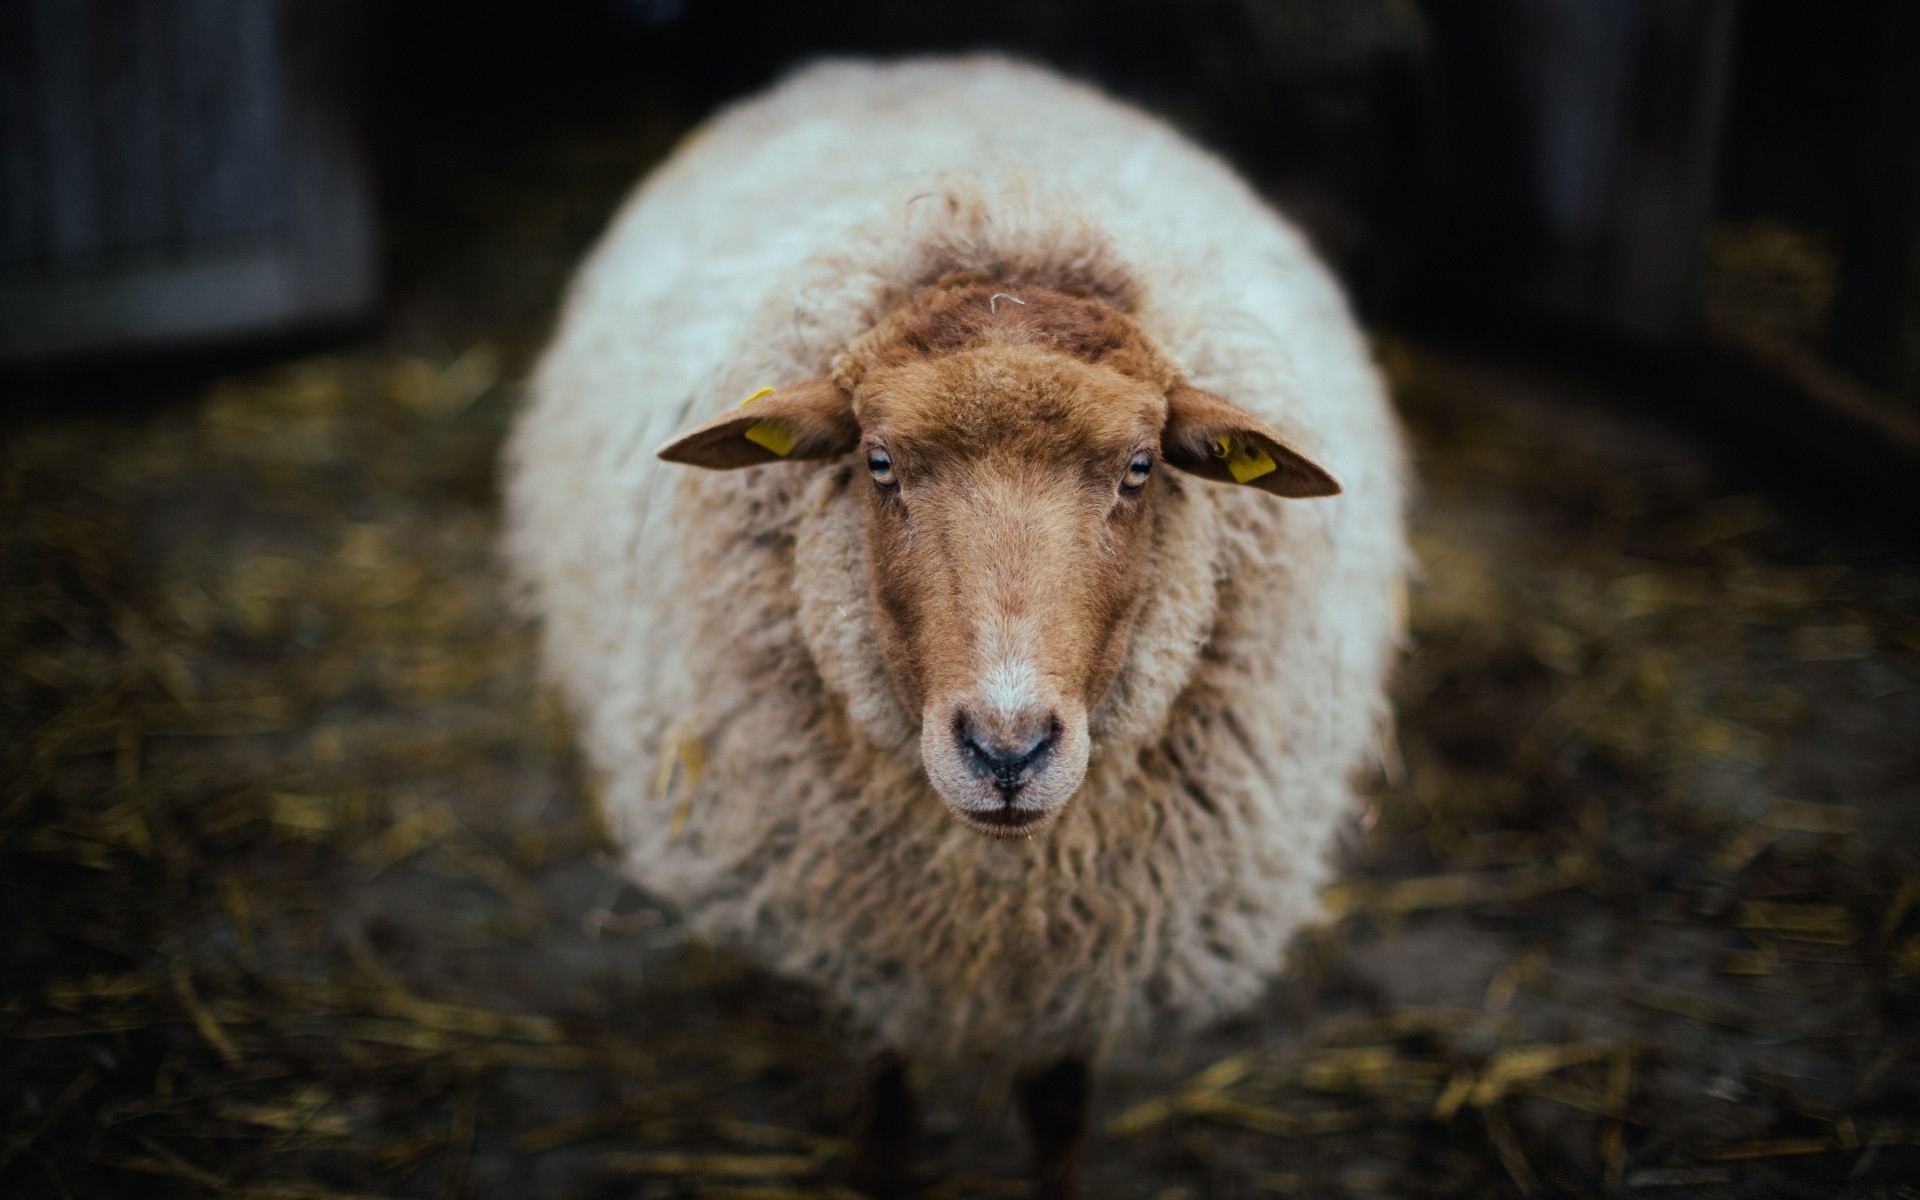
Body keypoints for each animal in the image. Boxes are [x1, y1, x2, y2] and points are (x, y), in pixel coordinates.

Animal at [506, 56, 1413, 1198]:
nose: (1007, 750)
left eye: (1141, 467)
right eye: (879, 461)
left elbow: (1059, 1107)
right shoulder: (878, 944)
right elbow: (889, 1089)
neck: (998, 899)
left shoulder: (1087, 958)